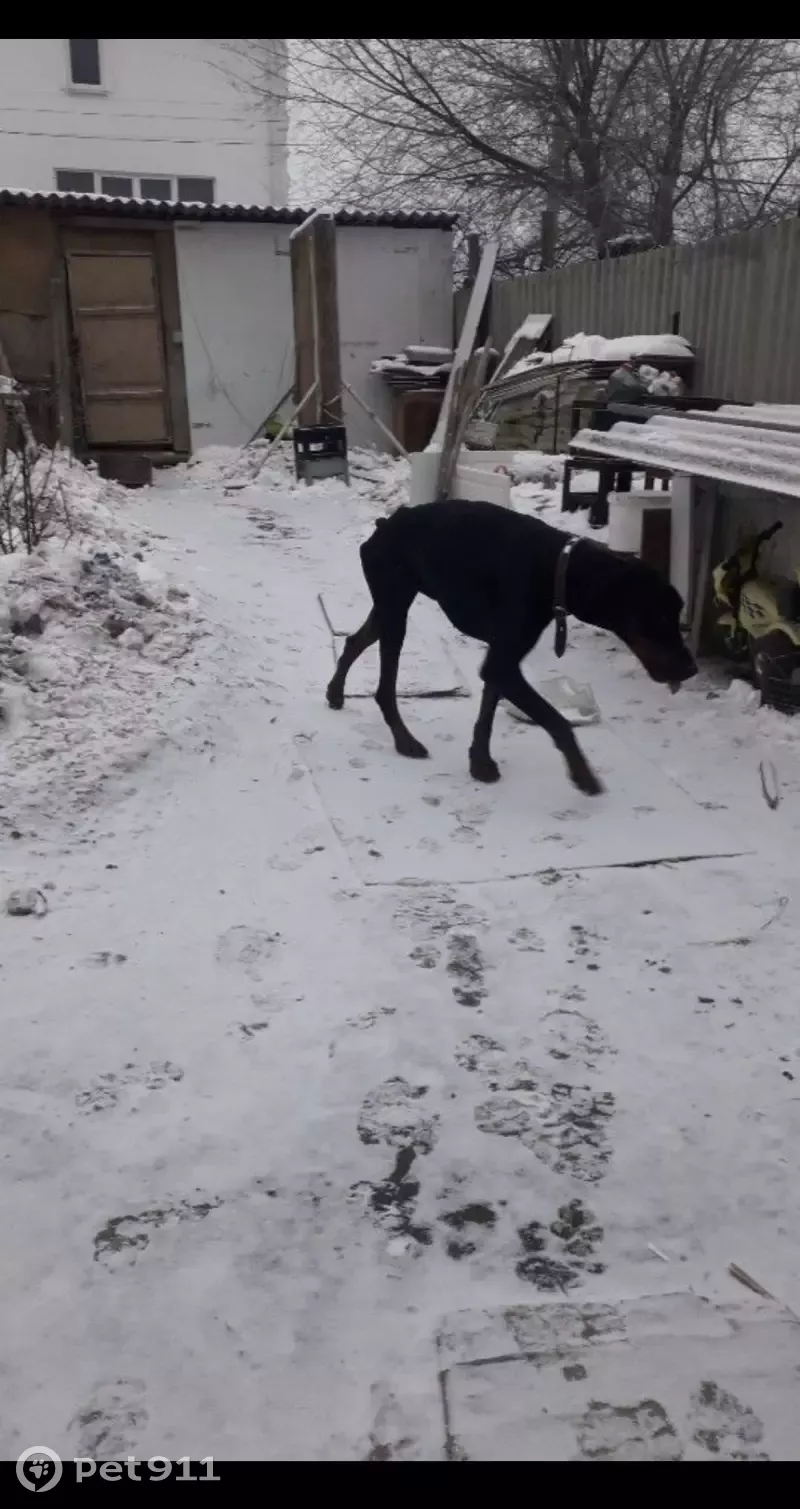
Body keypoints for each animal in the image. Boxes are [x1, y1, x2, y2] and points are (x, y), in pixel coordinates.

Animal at [323, 500, 691, 796]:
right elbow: (557, 721)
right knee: (385, 687)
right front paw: (583, 775)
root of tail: (385, 523)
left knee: (355, 640)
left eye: (679, 612)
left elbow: (487, 711)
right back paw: (404, 740)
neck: (559, 567)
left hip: (391, 602)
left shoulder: (501, 655)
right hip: (395, 605)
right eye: (659, 616)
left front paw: (480, 761)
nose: (691, 669)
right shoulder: (503, 661)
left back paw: (335, 692)